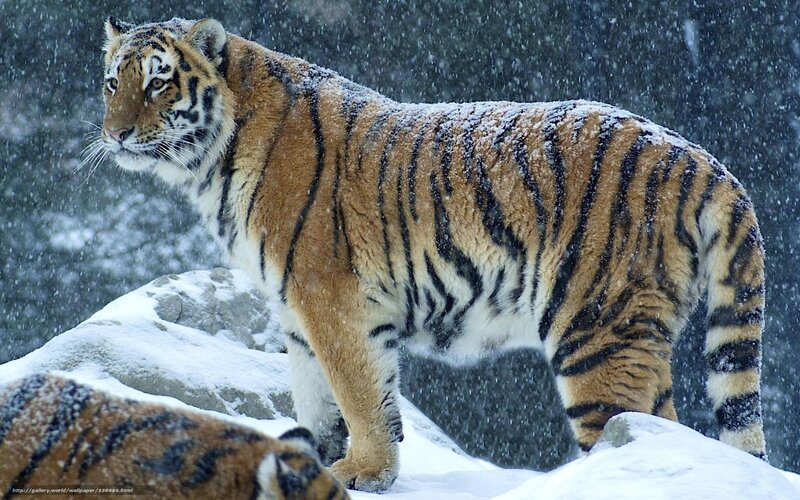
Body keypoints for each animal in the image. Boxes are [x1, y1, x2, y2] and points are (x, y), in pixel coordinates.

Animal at [97, 16, 768, 491]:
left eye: (157, 80)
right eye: (112, 82)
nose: (116, 133)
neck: (210, 163)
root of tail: (699, 158)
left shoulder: (331, 301)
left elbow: (358, 393)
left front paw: (363, 472)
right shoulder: (295, 314)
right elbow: (321, 397)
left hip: (596, 330)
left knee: (627, 433)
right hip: (637, 335)